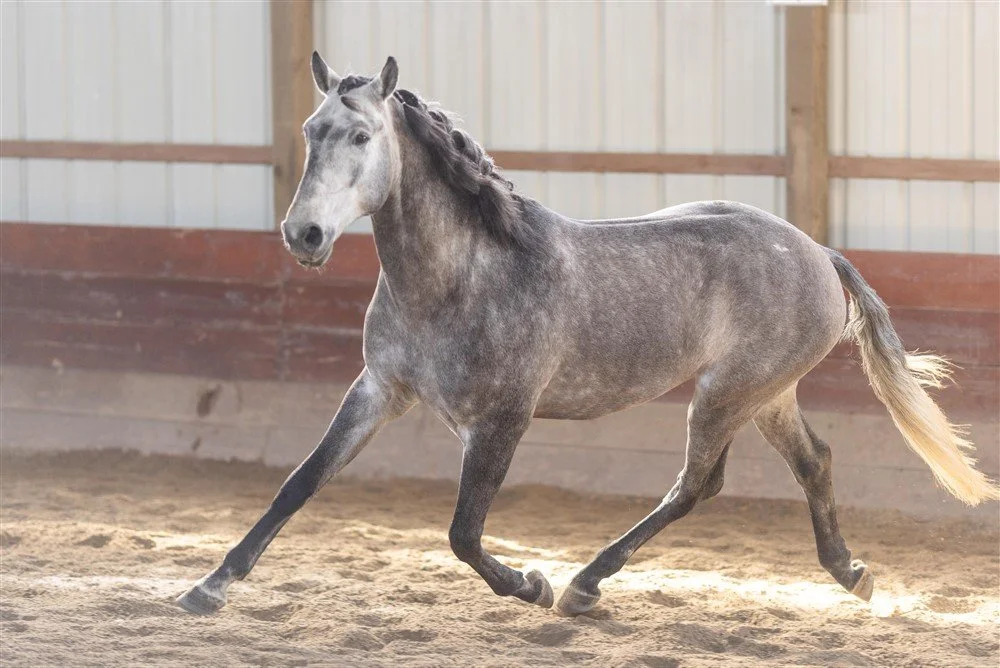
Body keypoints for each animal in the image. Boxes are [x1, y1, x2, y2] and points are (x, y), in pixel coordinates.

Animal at [177, 54, 998, 617]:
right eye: (311, 131)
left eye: (360, 133)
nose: (304, 235)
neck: (458, 279)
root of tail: (819, 253)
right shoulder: (380, 389)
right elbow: (300, 482)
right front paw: (208, 588)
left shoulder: (502, 418)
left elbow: (464, 533)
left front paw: (531, 583)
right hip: (766, 394)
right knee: (813, 463)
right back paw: (852, 574)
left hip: (726, 394)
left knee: (698, 483)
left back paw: (581, 584)